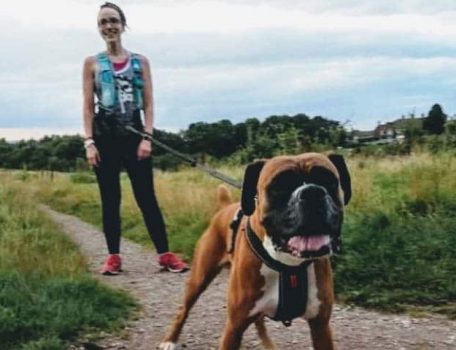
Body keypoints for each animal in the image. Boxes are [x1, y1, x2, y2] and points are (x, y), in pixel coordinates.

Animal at [160, 153, 352, 350]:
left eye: (328, 180)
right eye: (279, 186)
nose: (312, 192)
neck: (288, 265)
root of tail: (224, 207)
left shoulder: (320, 326)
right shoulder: (234, 327)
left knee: (258, 321)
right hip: (199, 279)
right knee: (183, 310)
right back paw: (170, 340)